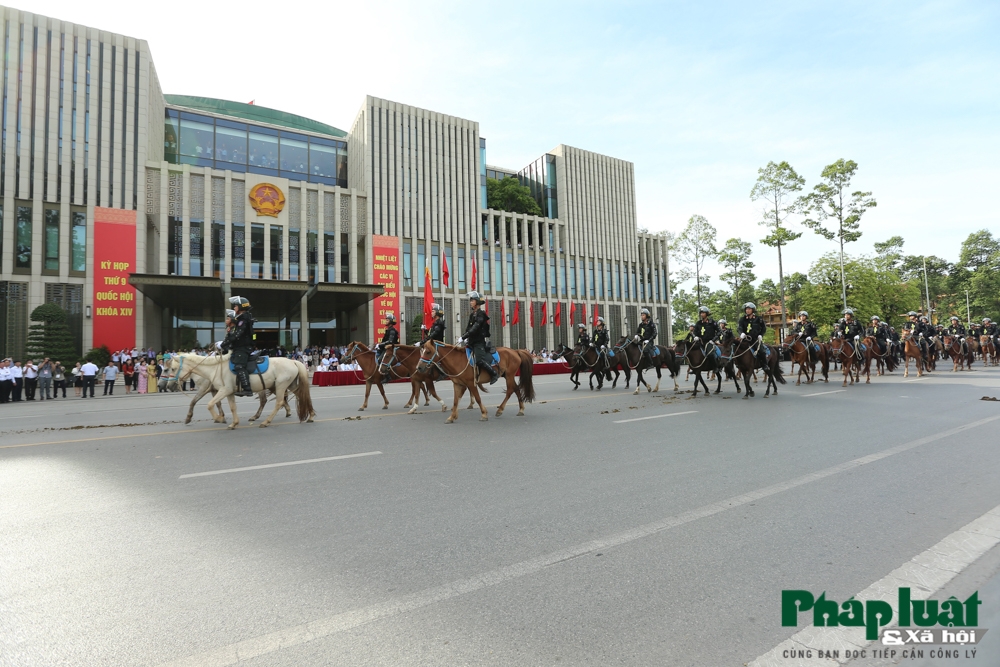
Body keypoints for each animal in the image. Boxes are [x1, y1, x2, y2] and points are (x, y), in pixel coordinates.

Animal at [176, 352, 314, 430]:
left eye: (172, 368)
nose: (174, 384)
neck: (214, 368)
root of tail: (293, 361)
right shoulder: (221, 390)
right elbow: (224, 405)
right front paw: (226, 420)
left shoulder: (215, 389)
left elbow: (202, 403)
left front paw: (218, 418)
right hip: (286, 385)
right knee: (300, 397)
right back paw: (308, 415)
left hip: (280, 385)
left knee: (276, 401)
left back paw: (266, 421)